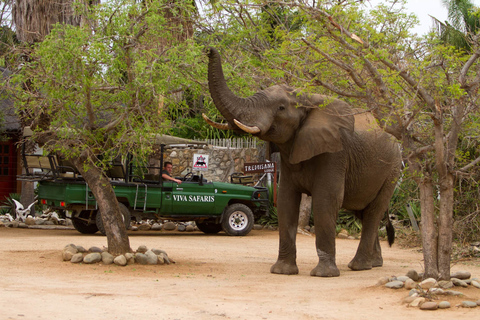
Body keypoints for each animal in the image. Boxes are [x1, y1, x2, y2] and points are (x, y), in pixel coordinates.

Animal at [204, 47, 404, 278]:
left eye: (281, 108)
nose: (209, 50)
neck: (308, 98)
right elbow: (286, 200)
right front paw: (282, 271)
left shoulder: (335, 153)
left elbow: (326, 200)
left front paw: (323, 275)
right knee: (363, 211)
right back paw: (374, 264)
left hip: (392, 171)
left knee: (373, 212)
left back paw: (359, 266)